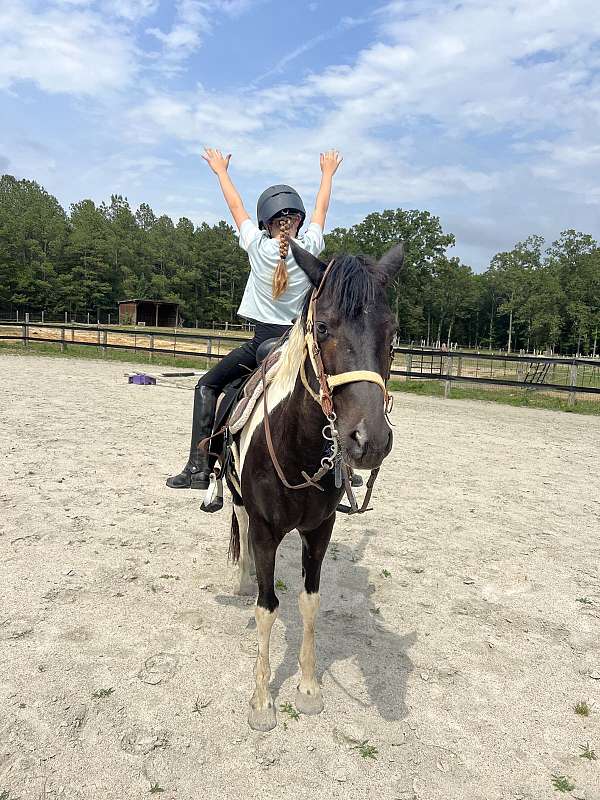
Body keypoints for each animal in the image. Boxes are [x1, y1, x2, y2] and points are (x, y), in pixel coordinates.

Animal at [224, 239, 404, 731]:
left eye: (392, 331)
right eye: (323, 326)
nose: (369, 441)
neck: (296, 449)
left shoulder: (319, 531)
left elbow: (309, 603)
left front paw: (307, 689)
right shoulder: (267, 531)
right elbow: (267, 607)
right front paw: (262, 701)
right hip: (237, 498)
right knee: (240, 526)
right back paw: (241, 577)